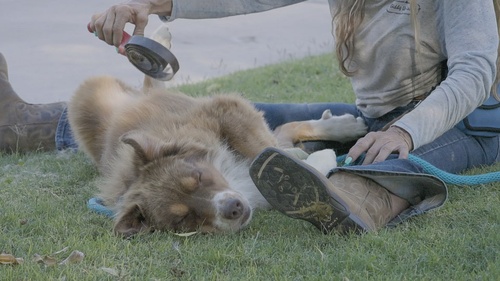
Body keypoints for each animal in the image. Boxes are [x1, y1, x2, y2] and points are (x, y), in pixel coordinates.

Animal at [67, 25, 368, 235]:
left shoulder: (223, 109)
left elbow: (262, 146)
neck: (230, 176)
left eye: (198, 176)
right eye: (183, 218)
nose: (233, 209)